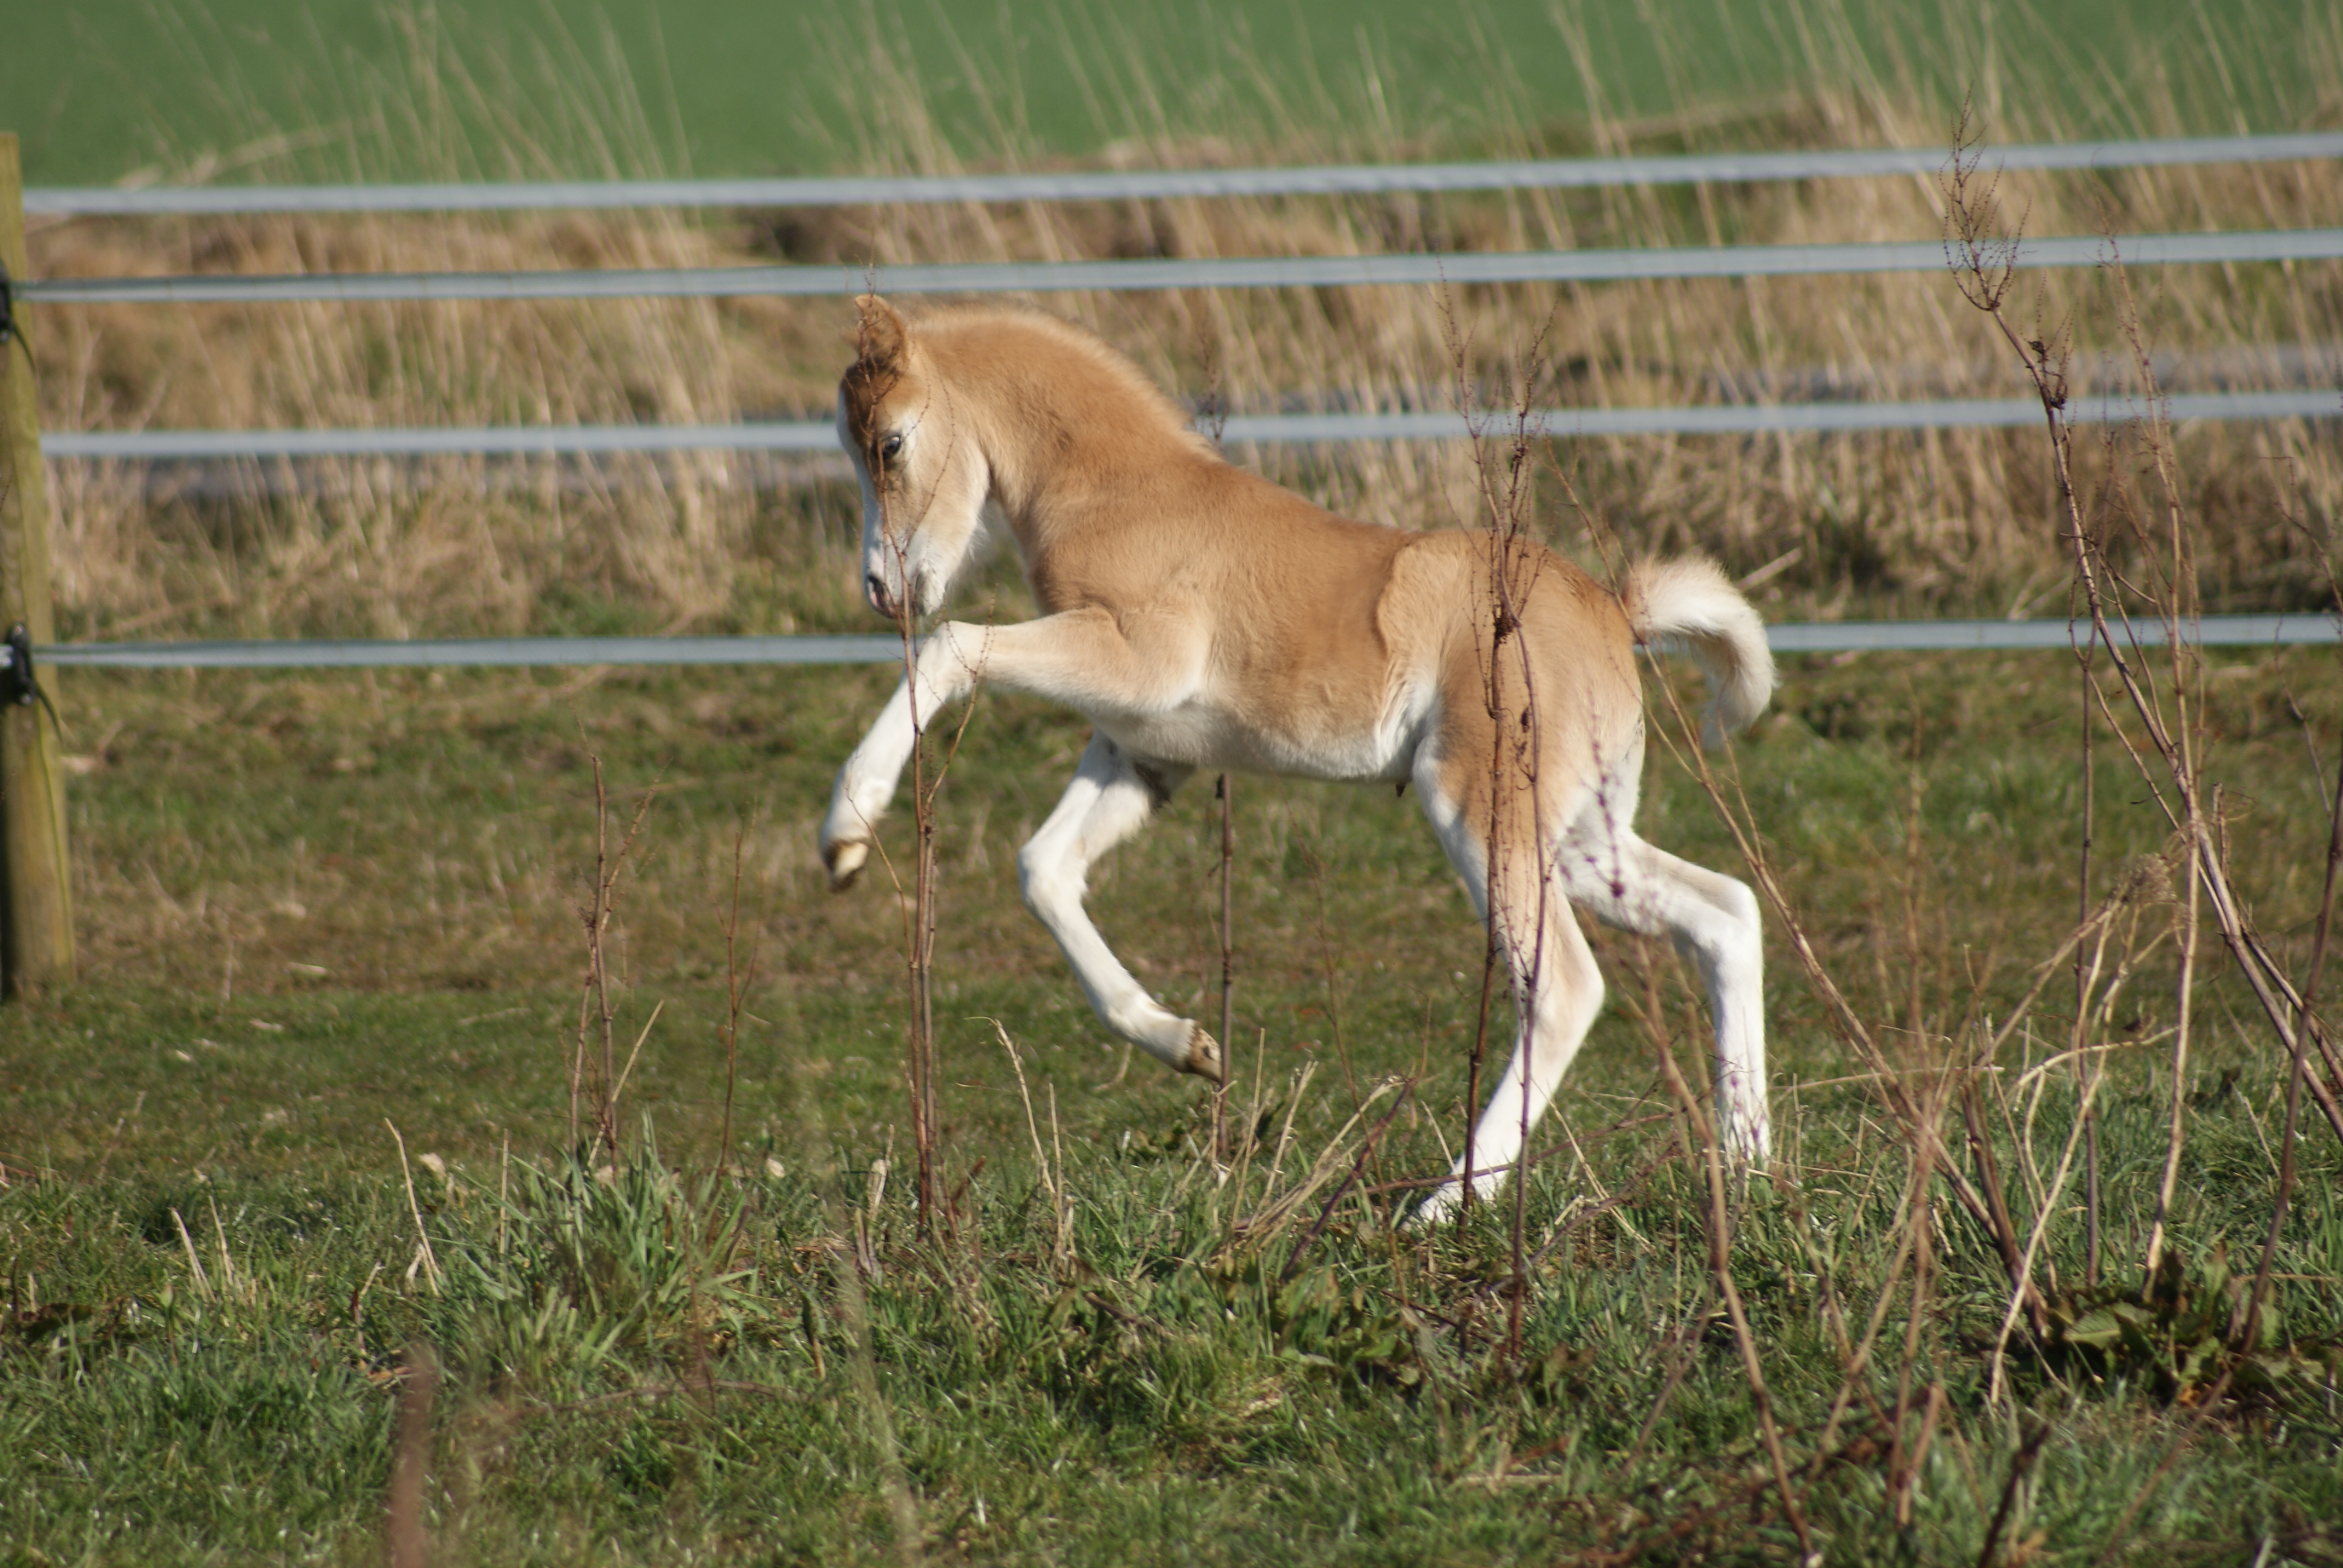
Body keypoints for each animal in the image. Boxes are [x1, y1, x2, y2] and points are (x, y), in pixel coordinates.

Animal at [818, 296, 1774, 1223]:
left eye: (890, 443)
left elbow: (951, 645)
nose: (881, 590)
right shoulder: (1145, 749)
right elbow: (1043, 869)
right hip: (1578, 838)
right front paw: (1187, 1045)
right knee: (1725, 913)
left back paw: (1443, 1207)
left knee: (1567, 988)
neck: (1117, 492)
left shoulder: (1136, 662)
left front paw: (846, 833)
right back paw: (1749, 1168)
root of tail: (1615, 610)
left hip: (1481, 809)